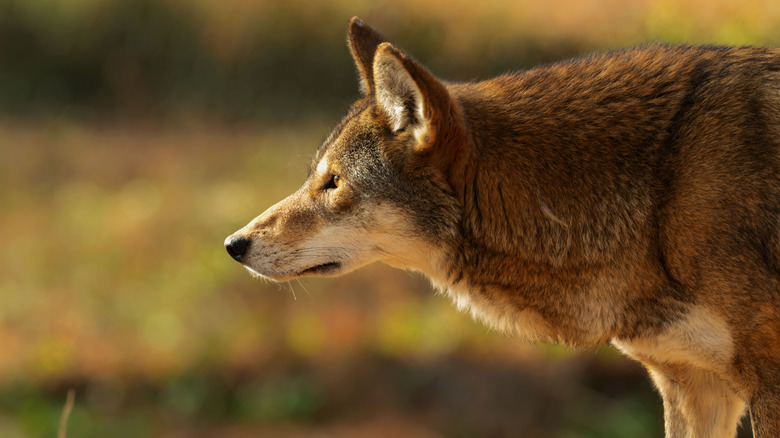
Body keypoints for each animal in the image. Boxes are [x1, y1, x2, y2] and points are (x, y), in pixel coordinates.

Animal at [225, 17, 780, 437]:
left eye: (334, 182)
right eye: (316, 176)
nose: (234, 244)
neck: (659, 194)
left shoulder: (764, 381)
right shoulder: (691, 386)